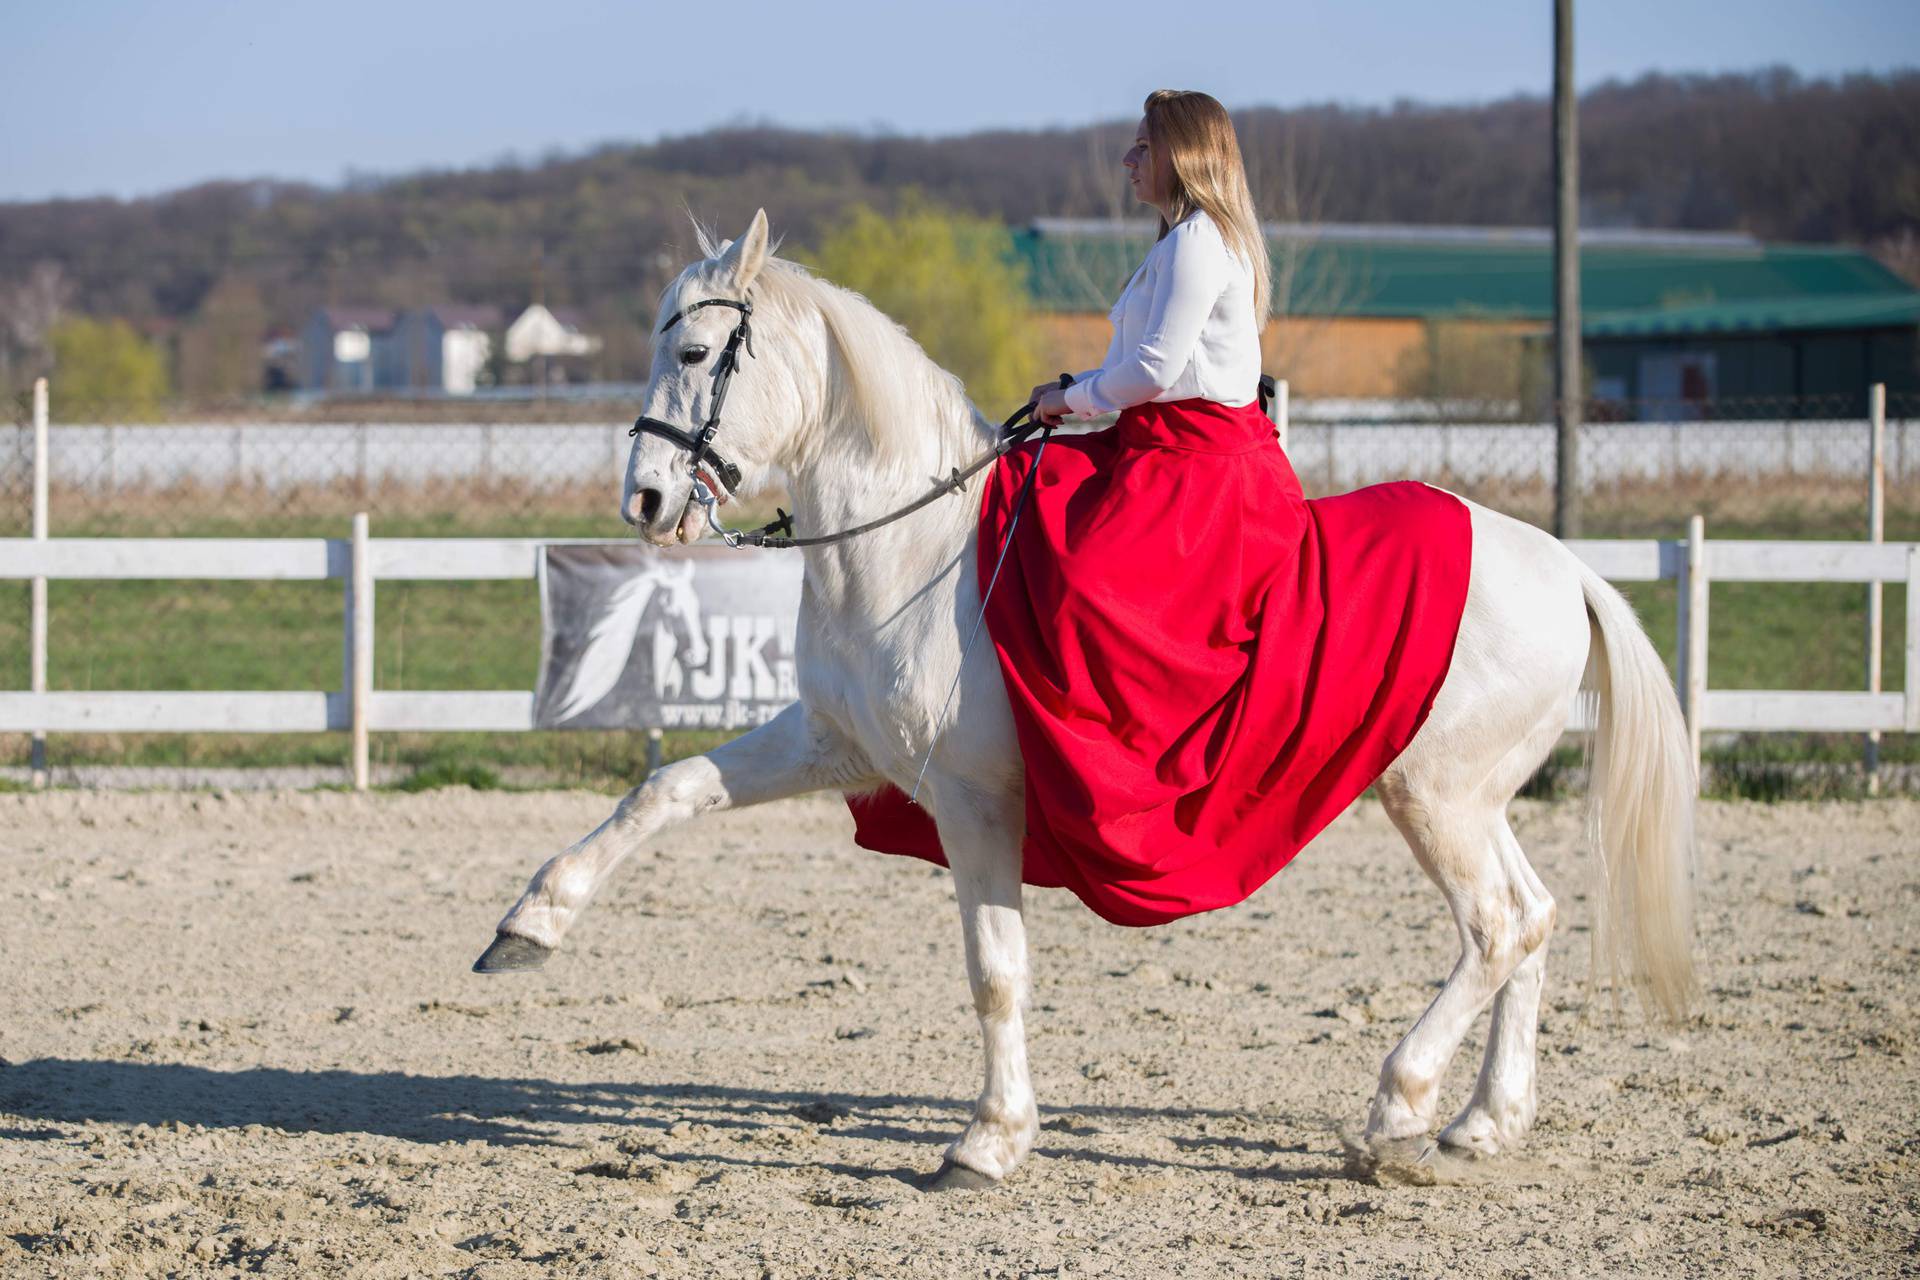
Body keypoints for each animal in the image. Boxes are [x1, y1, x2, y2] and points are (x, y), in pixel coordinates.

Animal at [476, 208, 1697, 1189]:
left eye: (693, 348)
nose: (643, 499)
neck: (917, 546)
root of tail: (1566, 567)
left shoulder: (975, 801)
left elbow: (995, 969)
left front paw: (988, 1141)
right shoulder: (835, 743)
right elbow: (667, 787)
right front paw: (528, 925)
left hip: (1434, 798)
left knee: (1496, 924)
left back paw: (1399, 1105)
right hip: (1469, 800)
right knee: (1534, 915)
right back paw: (1486, 1121)